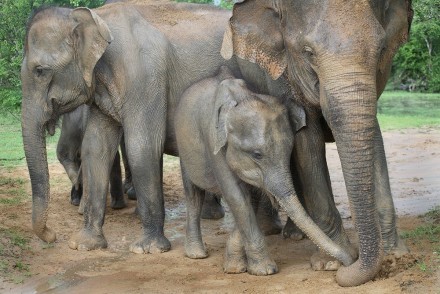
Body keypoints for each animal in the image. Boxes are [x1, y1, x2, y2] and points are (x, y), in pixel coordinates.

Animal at [174, 67, 354, 276]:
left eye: (290, 152)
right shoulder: (212, 141)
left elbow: (251, 197)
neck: (242, 98)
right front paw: (264, 271)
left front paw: (234, 267)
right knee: (193, 194)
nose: (348, 262)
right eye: (257, 154)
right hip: (183, 148)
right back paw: (196, 254)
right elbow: (237, 196)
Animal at [222, 0, 414, 286]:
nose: (351, 264)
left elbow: (374, 136)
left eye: (381, 50)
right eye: (308, 52)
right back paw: (291, 235)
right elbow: (307, 140)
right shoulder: (284, 75)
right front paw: (329, 264)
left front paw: (396, 254)